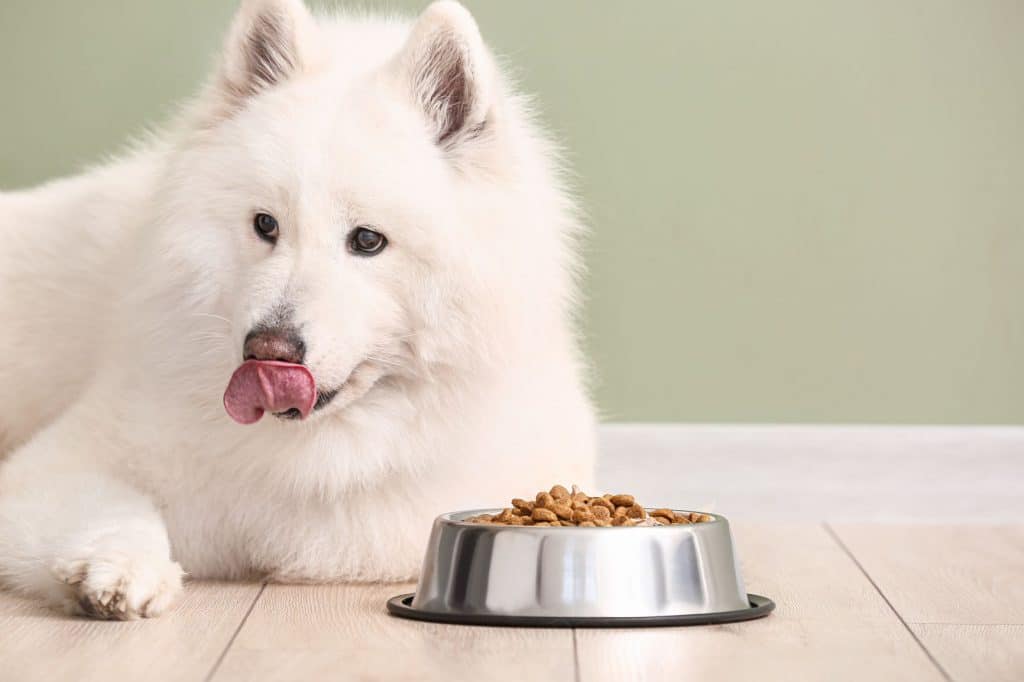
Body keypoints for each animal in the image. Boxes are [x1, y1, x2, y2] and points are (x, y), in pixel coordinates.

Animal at [0, 0, 593, 614]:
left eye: (368, 240)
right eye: (266, 224)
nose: (267, 350)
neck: (317, 443)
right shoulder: (57, 463)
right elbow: (119, 510)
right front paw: (118, 570)